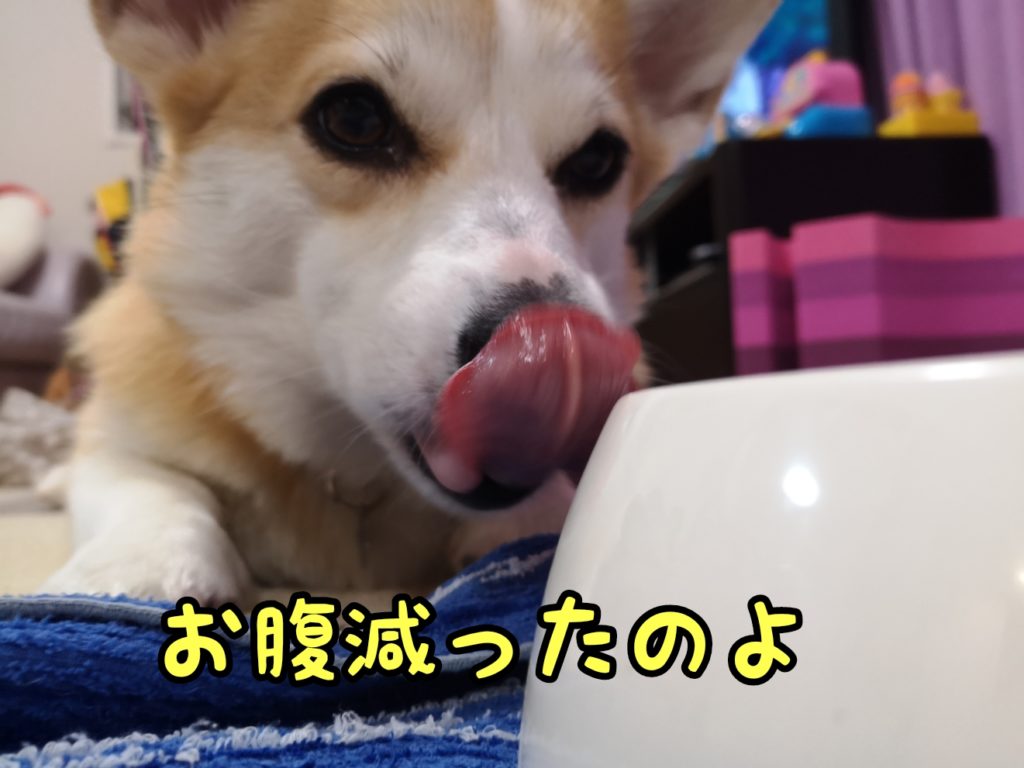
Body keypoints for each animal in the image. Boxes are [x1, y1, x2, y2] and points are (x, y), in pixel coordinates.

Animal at [43, 0, 776, 603]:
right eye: (355, 119)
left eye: (598, 159)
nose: (563, 341)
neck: (353, 474)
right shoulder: (124, 438)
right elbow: (155, 487)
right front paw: (134, 569)